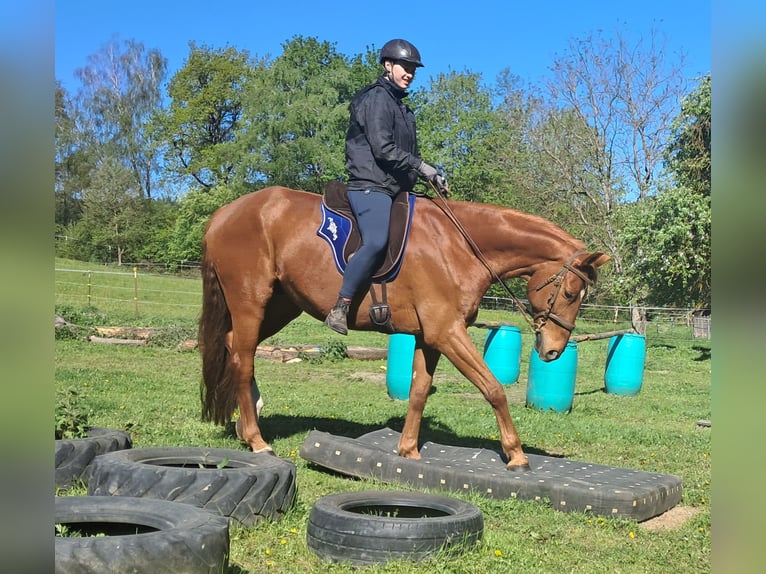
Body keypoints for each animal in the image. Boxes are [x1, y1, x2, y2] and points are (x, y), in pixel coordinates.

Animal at [198, 186, 610, 471]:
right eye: (570, 292)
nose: (553, 350)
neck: (458, 246)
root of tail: (223, 214)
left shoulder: (431, 337)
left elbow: (419, 391)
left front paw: (408, 450)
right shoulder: (447, 332)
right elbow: (493, 389)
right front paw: (517, 455)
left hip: (281, 306)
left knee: (236, 347)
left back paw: (247, 420)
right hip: (251, 302)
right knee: (243, 358)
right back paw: (256, 439)